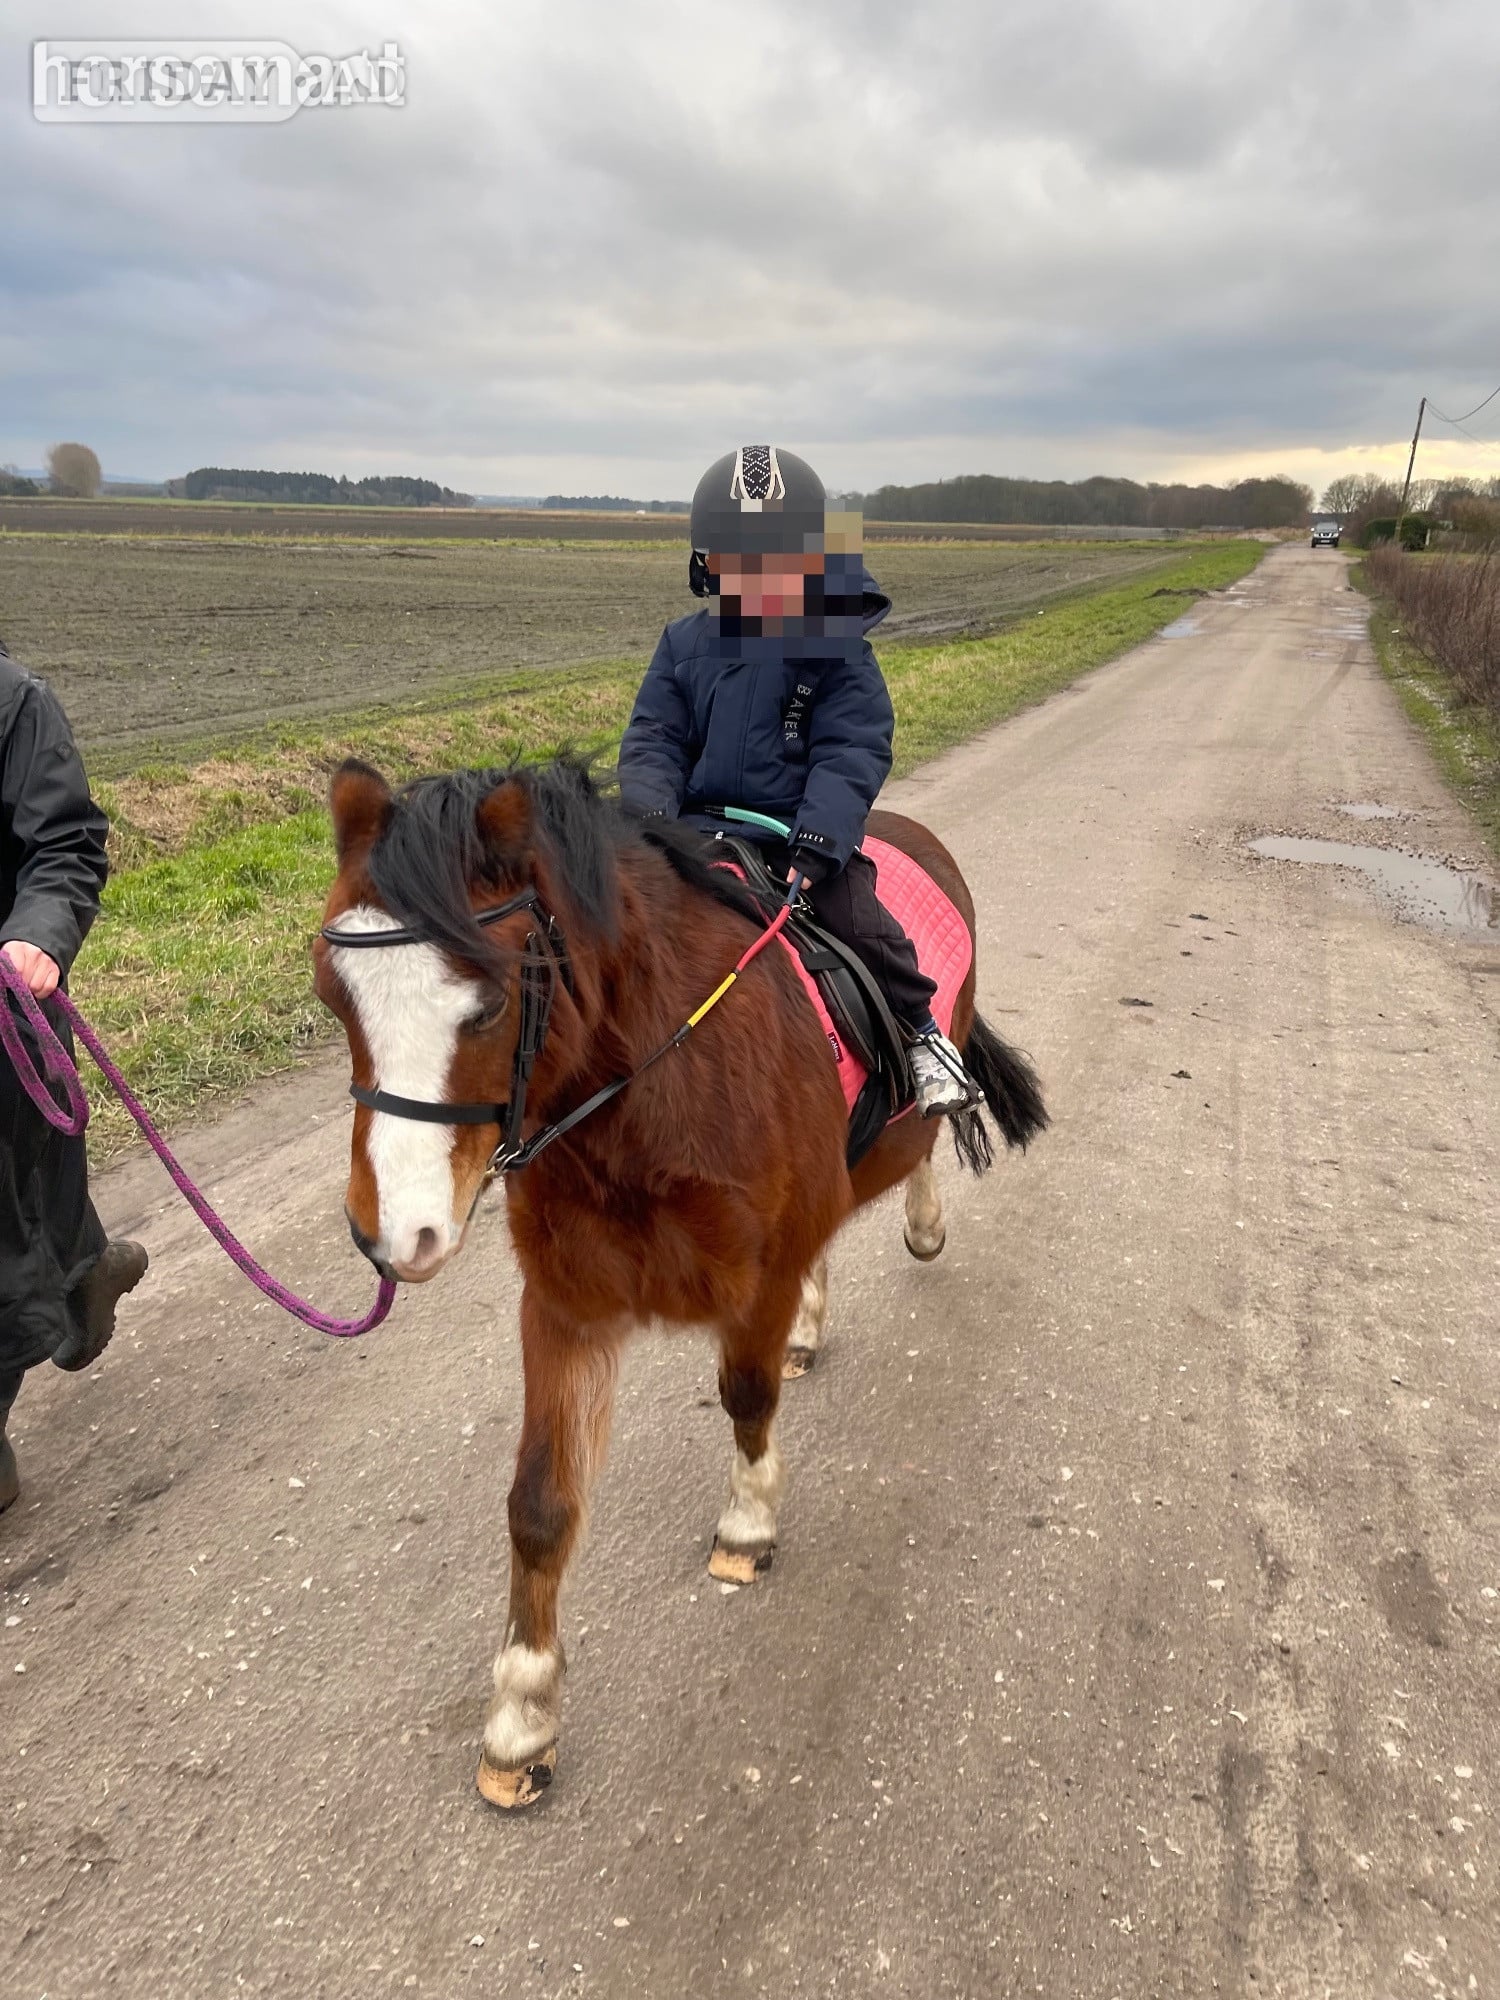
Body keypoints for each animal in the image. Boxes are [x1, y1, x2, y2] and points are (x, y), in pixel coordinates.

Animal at [313, 756, 1047, 1808]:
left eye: (487, 1004)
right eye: (335, 998)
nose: (392, 1234)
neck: (649, 1085)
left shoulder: (758, 1271)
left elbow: (744, 1395)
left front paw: (747, 1526)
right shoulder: (566, 1307)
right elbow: (539, 1505)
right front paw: (522, 1716)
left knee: (920, 1145)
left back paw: (922, 1221)